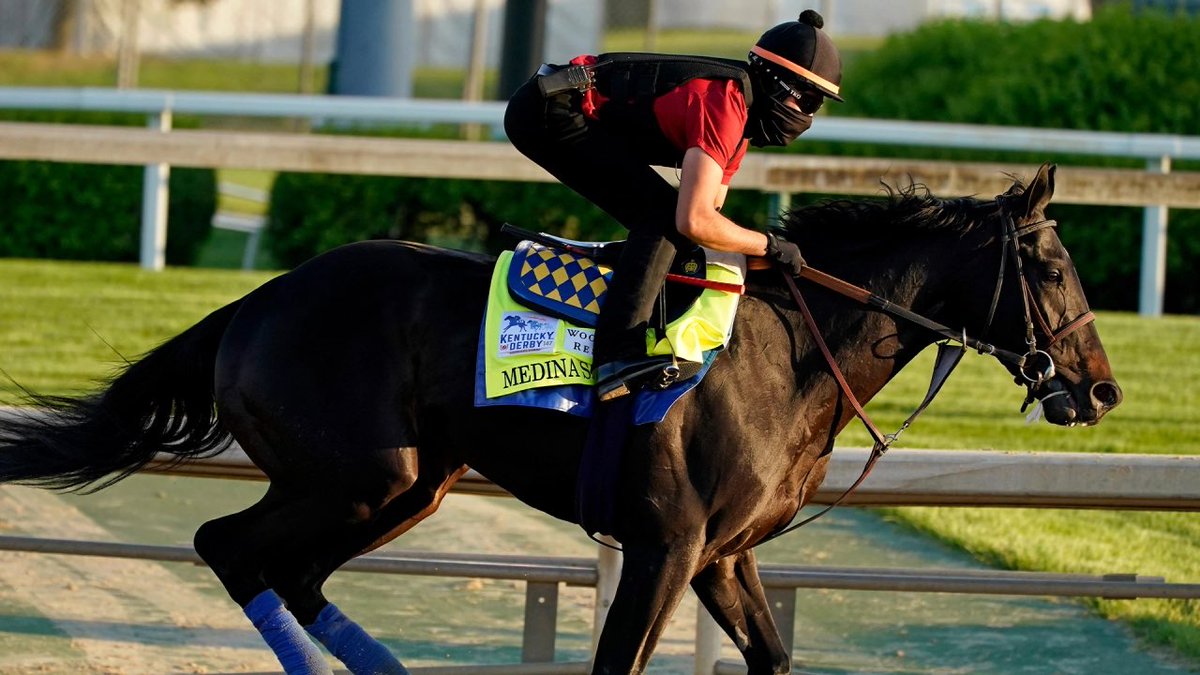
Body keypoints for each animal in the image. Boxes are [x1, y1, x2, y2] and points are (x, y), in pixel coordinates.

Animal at [0, 163, 1122, 674]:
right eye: (1053, 265)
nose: (1103, 388)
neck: (786, 351)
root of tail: (253, 302)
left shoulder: (724, 556)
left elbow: (774, 655)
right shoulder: (667, 546)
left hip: (410, 486)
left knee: (296, 574)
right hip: (354, 475)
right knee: (228, 547)